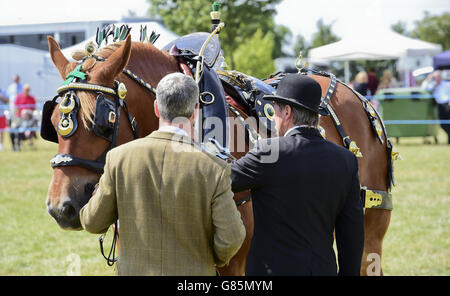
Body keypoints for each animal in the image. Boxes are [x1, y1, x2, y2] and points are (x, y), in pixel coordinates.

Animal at [43, 34, 394, 276]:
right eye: (53, 122)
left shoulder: (232, 261)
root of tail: (352, 92)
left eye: (103, 121)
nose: (62, 207)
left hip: (370, 227)